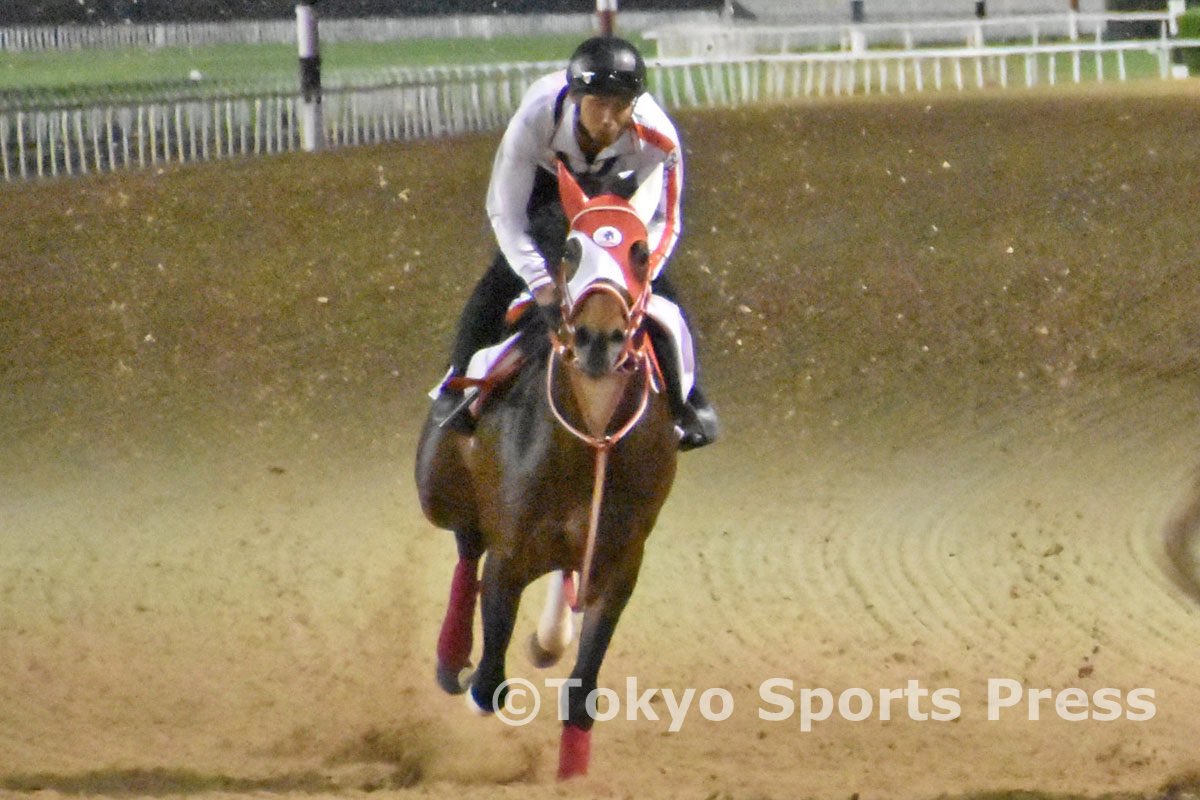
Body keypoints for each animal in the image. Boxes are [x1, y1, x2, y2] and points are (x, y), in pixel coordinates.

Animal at [415, 162, 679, 780]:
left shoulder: (621, 562)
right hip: (437, 487)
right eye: (572, 250)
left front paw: (572, 774)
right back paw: (450, 653)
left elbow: (582, 690)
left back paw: (547, 635)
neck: (594, 436)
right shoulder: (510, 555)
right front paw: (472, 673)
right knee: (466, 545)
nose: (598, 338)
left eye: (639, 251)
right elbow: (489, 682)